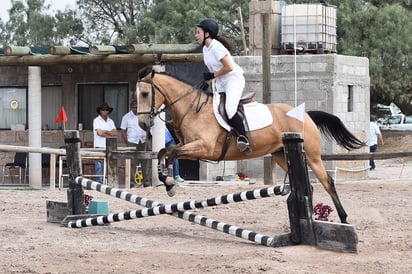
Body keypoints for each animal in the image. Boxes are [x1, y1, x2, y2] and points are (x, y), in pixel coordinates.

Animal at [137, 65, 366, 224]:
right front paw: (165, 180)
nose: (142, 124)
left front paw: (169, 184)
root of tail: (305, 115)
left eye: (146, 94)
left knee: (328, 182)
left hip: (311, 156)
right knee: (307, 185)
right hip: (281, 155)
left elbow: (172, 154)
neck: (193, 109)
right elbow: (164, 152)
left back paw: (343, 218)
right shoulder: (191, 148)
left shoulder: (204, 148)